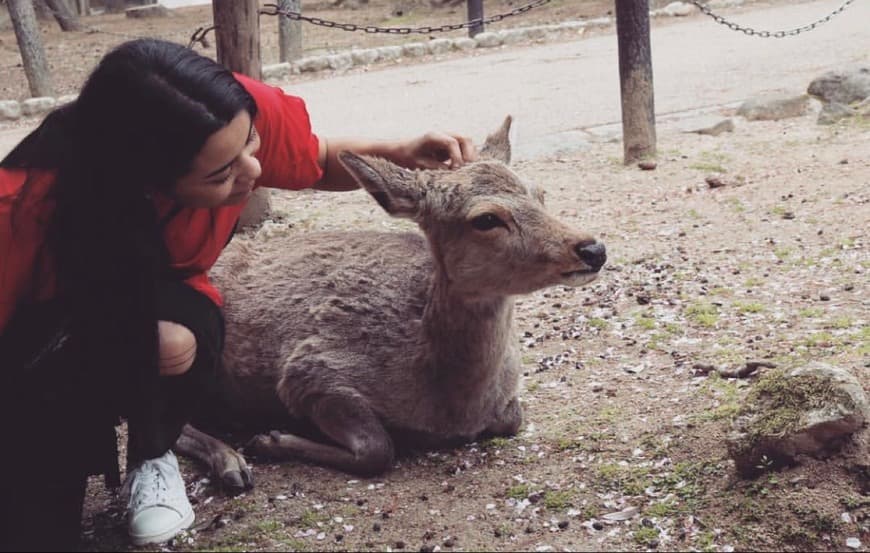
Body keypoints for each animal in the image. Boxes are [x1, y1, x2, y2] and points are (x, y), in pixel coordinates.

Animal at [173, 116, 604, 492]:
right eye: (485, 219)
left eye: (541, 194)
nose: (593, 249)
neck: (452, 405)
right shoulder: (307, 370)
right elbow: (379, 450)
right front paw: (271, 439)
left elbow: (514, 418)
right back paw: (231, 462)